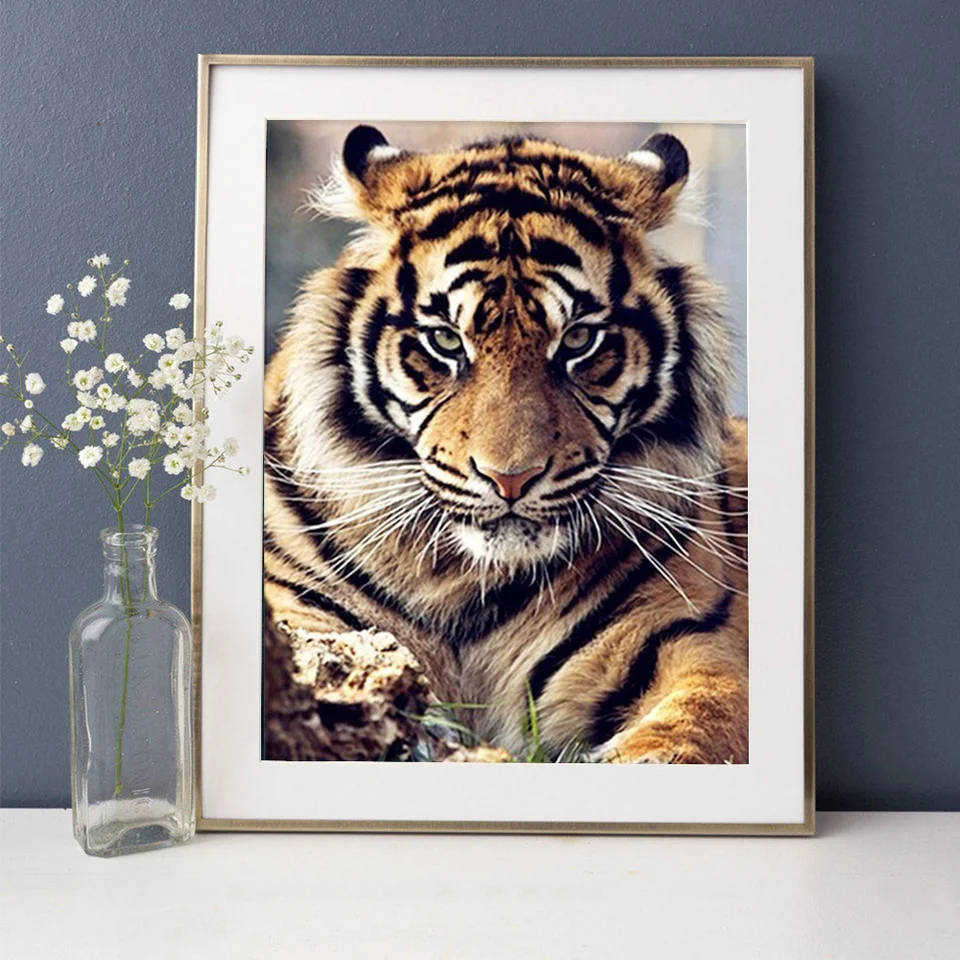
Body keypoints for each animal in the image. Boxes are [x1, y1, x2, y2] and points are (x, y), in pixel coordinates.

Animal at [263, 125, 748, 764]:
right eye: (445, 341)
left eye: (580, 341)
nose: (510, 479)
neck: (464, 581)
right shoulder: (298, 613)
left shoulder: (691, 638)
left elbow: (700, 719)